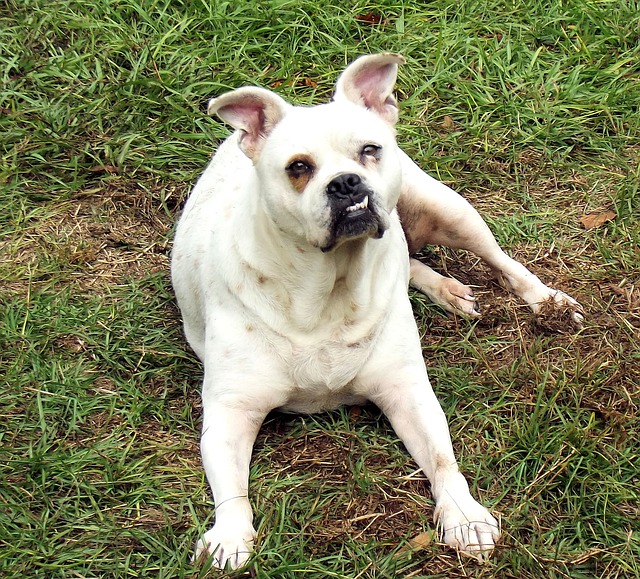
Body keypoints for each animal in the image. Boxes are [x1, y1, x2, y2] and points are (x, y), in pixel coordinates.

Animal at [172, 52, 584, 568]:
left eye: (369, 150)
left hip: (449, 210)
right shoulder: (230, 412)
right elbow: (232, 491)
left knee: (499, 261)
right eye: (298, 167)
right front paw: (229, 536)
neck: (327, 286)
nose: (346, 182)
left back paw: (547, 301)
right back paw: (448, 290)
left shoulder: (406, 391)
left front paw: (464, 515)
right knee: (411, 261)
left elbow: (443, 458)